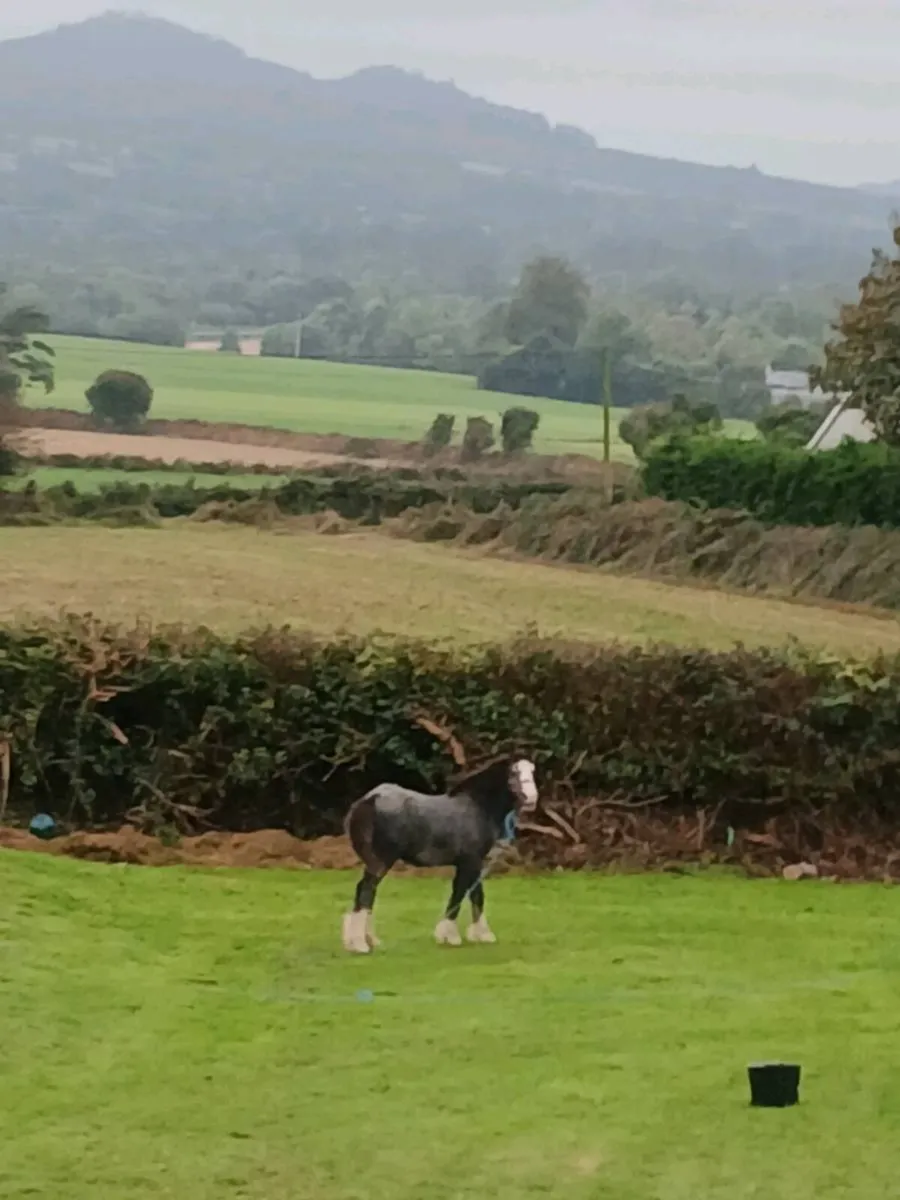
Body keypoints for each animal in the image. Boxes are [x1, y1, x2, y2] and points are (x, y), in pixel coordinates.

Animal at [341, 756, 539, 954]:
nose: (532, 798)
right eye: (513, 774)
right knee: (366, 891)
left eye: (532, 772)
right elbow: (460, 893)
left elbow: (476, 894)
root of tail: (370, 799)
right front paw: (450, 936)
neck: (476, 808)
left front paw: (481, 935)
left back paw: (368, 940)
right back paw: (359, 944)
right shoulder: (470, 861)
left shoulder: (474, 862)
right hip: (381, 861)